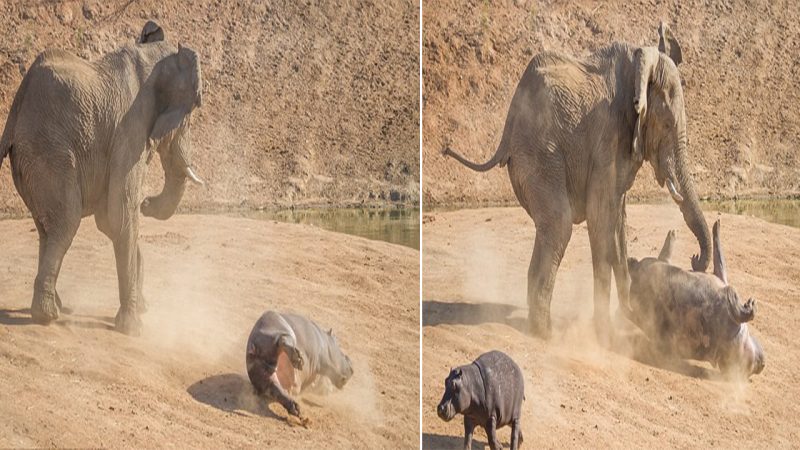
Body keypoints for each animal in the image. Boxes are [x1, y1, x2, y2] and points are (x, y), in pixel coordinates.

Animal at [0, 22, 203, 336]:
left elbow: (112, 220)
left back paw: (56, 306)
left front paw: (141, 310)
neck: (152, 56)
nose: (147, 203)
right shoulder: (130, 129)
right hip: (48, 153)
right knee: (66, 221)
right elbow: (120, 214)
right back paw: (47, 315)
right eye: (189, 118)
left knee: (47, 227)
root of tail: (16, 110)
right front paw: (133, 329)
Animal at [444, 22, 712, 344]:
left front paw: (626, 317)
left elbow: (617, 223)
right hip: (538, 156)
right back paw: (544, 334)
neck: (637, 67)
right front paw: (605, 334)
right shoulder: (608, 136)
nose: (695, 259)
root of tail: (507, 129)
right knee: (559, 225)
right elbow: (600, 219)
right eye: (668, 124)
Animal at [624, 221, 764, 376]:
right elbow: (719, 260)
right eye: (754, 365)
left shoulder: (726, 291)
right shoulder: (725, 288)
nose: (761, 365)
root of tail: (636, 272)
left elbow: (720, 261)